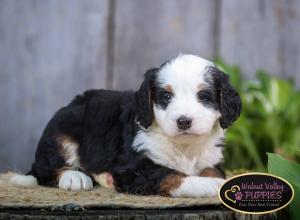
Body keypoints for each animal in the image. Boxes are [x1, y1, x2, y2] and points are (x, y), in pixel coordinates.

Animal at [11, 53, 241, 198]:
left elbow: (212, 170)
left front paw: (215, 180)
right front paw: (210, 186)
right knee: (46, 168)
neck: (185, 146)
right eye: (166, 96)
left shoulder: (210, 159)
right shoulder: (134, 167)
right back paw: (74, 177)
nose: (183, 121)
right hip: (62, 132)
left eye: (203, 96)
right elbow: (171, 175)